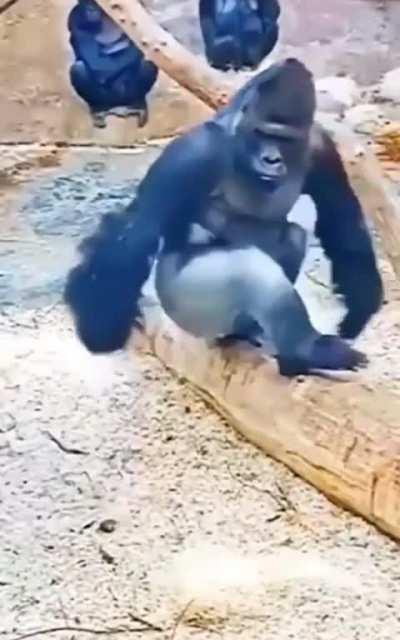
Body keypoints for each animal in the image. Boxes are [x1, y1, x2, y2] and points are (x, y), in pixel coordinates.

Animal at [64, 58, 383, 377]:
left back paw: (265, 343)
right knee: (247, 267)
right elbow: (136, 235)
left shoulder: (321, 146)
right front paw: (102, 330)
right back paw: (305, 349)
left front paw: (359, 309)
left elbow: (340, 218)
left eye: (285, 139)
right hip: (183, 305)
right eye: (263, 134)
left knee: (291, 237)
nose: (271, 159)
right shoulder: (193, 153)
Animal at [67, 0, 158, 128]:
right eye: (87, 2)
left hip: (127, 95)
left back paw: (138, 104)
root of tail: (117, 106)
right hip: (107, 98)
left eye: (95, 3)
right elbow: (95, 61)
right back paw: (98, 108)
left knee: (148, 64)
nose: (91, 9)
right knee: (78, 69)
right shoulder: (75, 19)